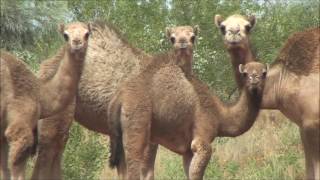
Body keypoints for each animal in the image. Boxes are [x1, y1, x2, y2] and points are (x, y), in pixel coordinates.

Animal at [0, 21, 90, 179]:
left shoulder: (3, 133)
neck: (41, 94)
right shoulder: (19, 129)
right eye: (65, 35)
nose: (77, 42)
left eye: (87, 33)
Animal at [31, 23, 199, 180]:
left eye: (193, 36)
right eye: (172, 38)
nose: (183, 43)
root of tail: (43, 68)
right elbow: (145, 171)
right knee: (49, 148)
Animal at [107, 60, 268, 180]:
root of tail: (119, 98)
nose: (254, 78)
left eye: (264, 73)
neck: (220, 115)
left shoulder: (187, 151)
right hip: (136, 125)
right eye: (245, 73)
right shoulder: (201, 141)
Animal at [215, 14, 320, 180]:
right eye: (222, 27)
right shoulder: (302, 125)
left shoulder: (312, 122)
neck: (281, 81)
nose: (234, 32)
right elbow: (309, 169)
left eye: (247, 26)